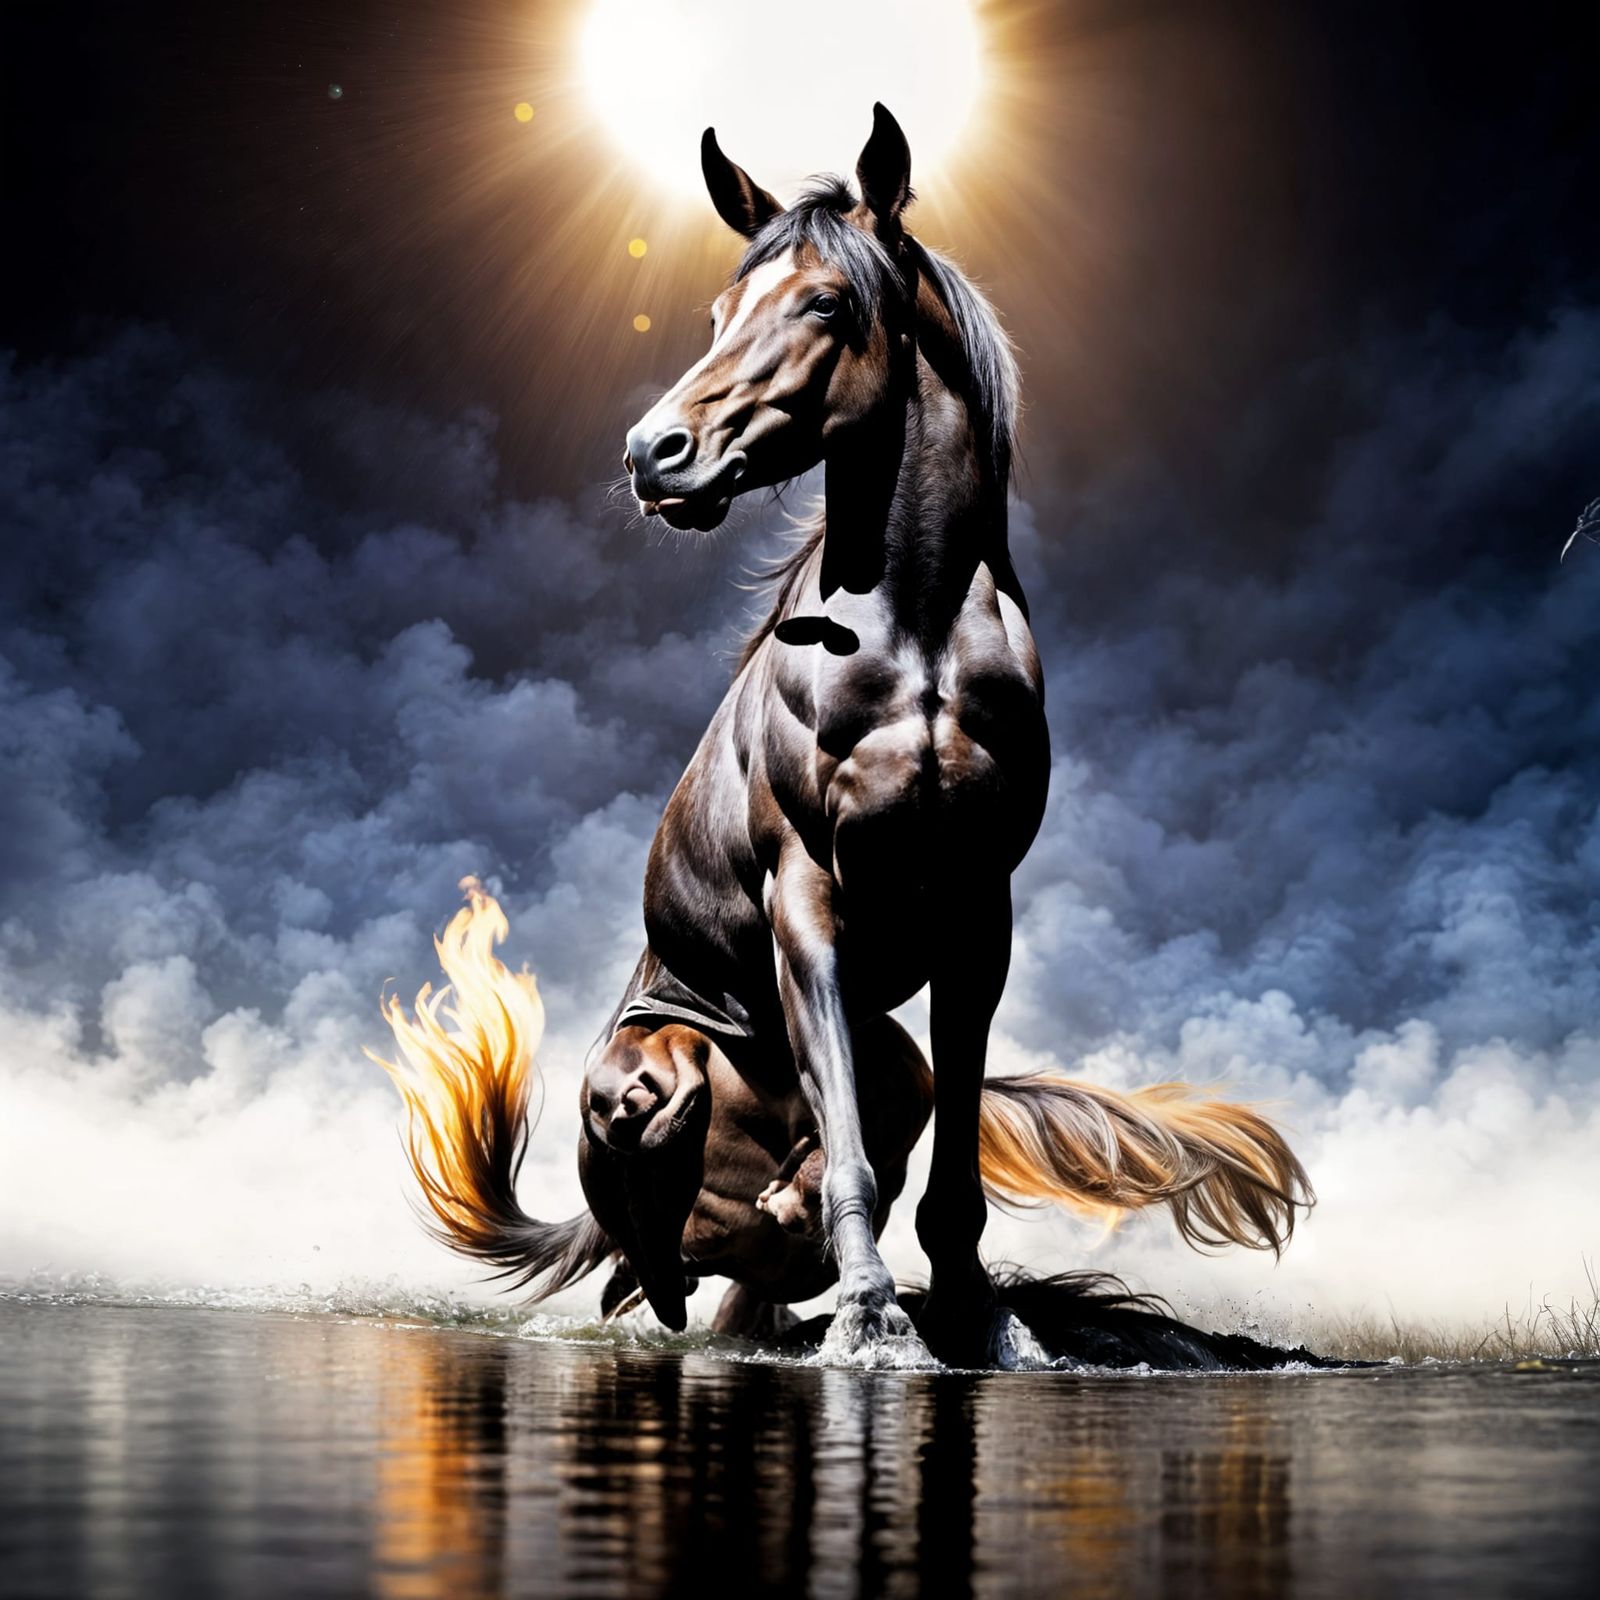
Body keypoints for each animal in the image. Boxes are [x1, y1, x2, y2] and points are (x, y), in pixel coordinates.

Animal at [375, 108, 1312, 1367]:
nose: (652, 453)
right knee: (667, 1254)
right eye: (718, 313)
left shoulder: (978, 907)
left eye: (824, 302)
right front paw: (877, 1317)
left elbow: (947, 1171)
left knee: (761, 1258)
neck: (913, 631)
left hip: (879, 1078)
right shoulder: (803, 899)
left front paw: (981, 1319)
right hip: (635, 1077)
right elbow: (851, 1162)